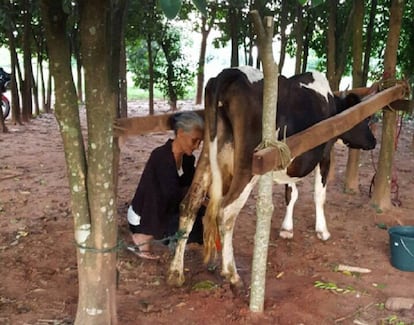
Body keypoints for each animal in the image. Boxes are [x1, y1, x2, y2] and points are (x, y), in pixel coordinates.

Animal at [167, 65, 376, 286]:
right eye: (364, 119)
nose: (374, 141)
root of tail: (230, 73)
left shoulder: (289, 156)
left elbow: (291, 193)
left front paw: (287, 228)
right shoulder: (325, 154)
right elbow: (319, 195)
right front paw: (322, 230)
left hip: (209, 154)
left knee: (189, 205)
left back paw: (176, 272)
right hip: (247, 164)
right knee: (226, 211)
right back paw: (231, 273)